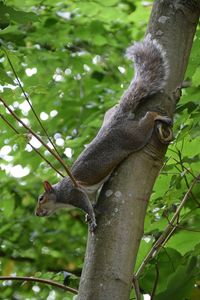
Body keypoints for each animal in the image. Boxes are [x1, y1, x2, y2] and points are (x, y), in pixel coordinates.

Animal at [35, 35, 172, 232]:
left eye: (41, 198)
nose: (37, 213)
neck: (60, 196)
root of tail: (117, 119)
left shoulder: (74, 193)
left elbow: (86, 204)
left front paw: (92, 219)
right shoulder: (88, 192)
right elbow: (91, 201)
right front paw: (89, 215)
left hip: (134, 136)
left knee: (149, 118)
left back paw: (158, 116)